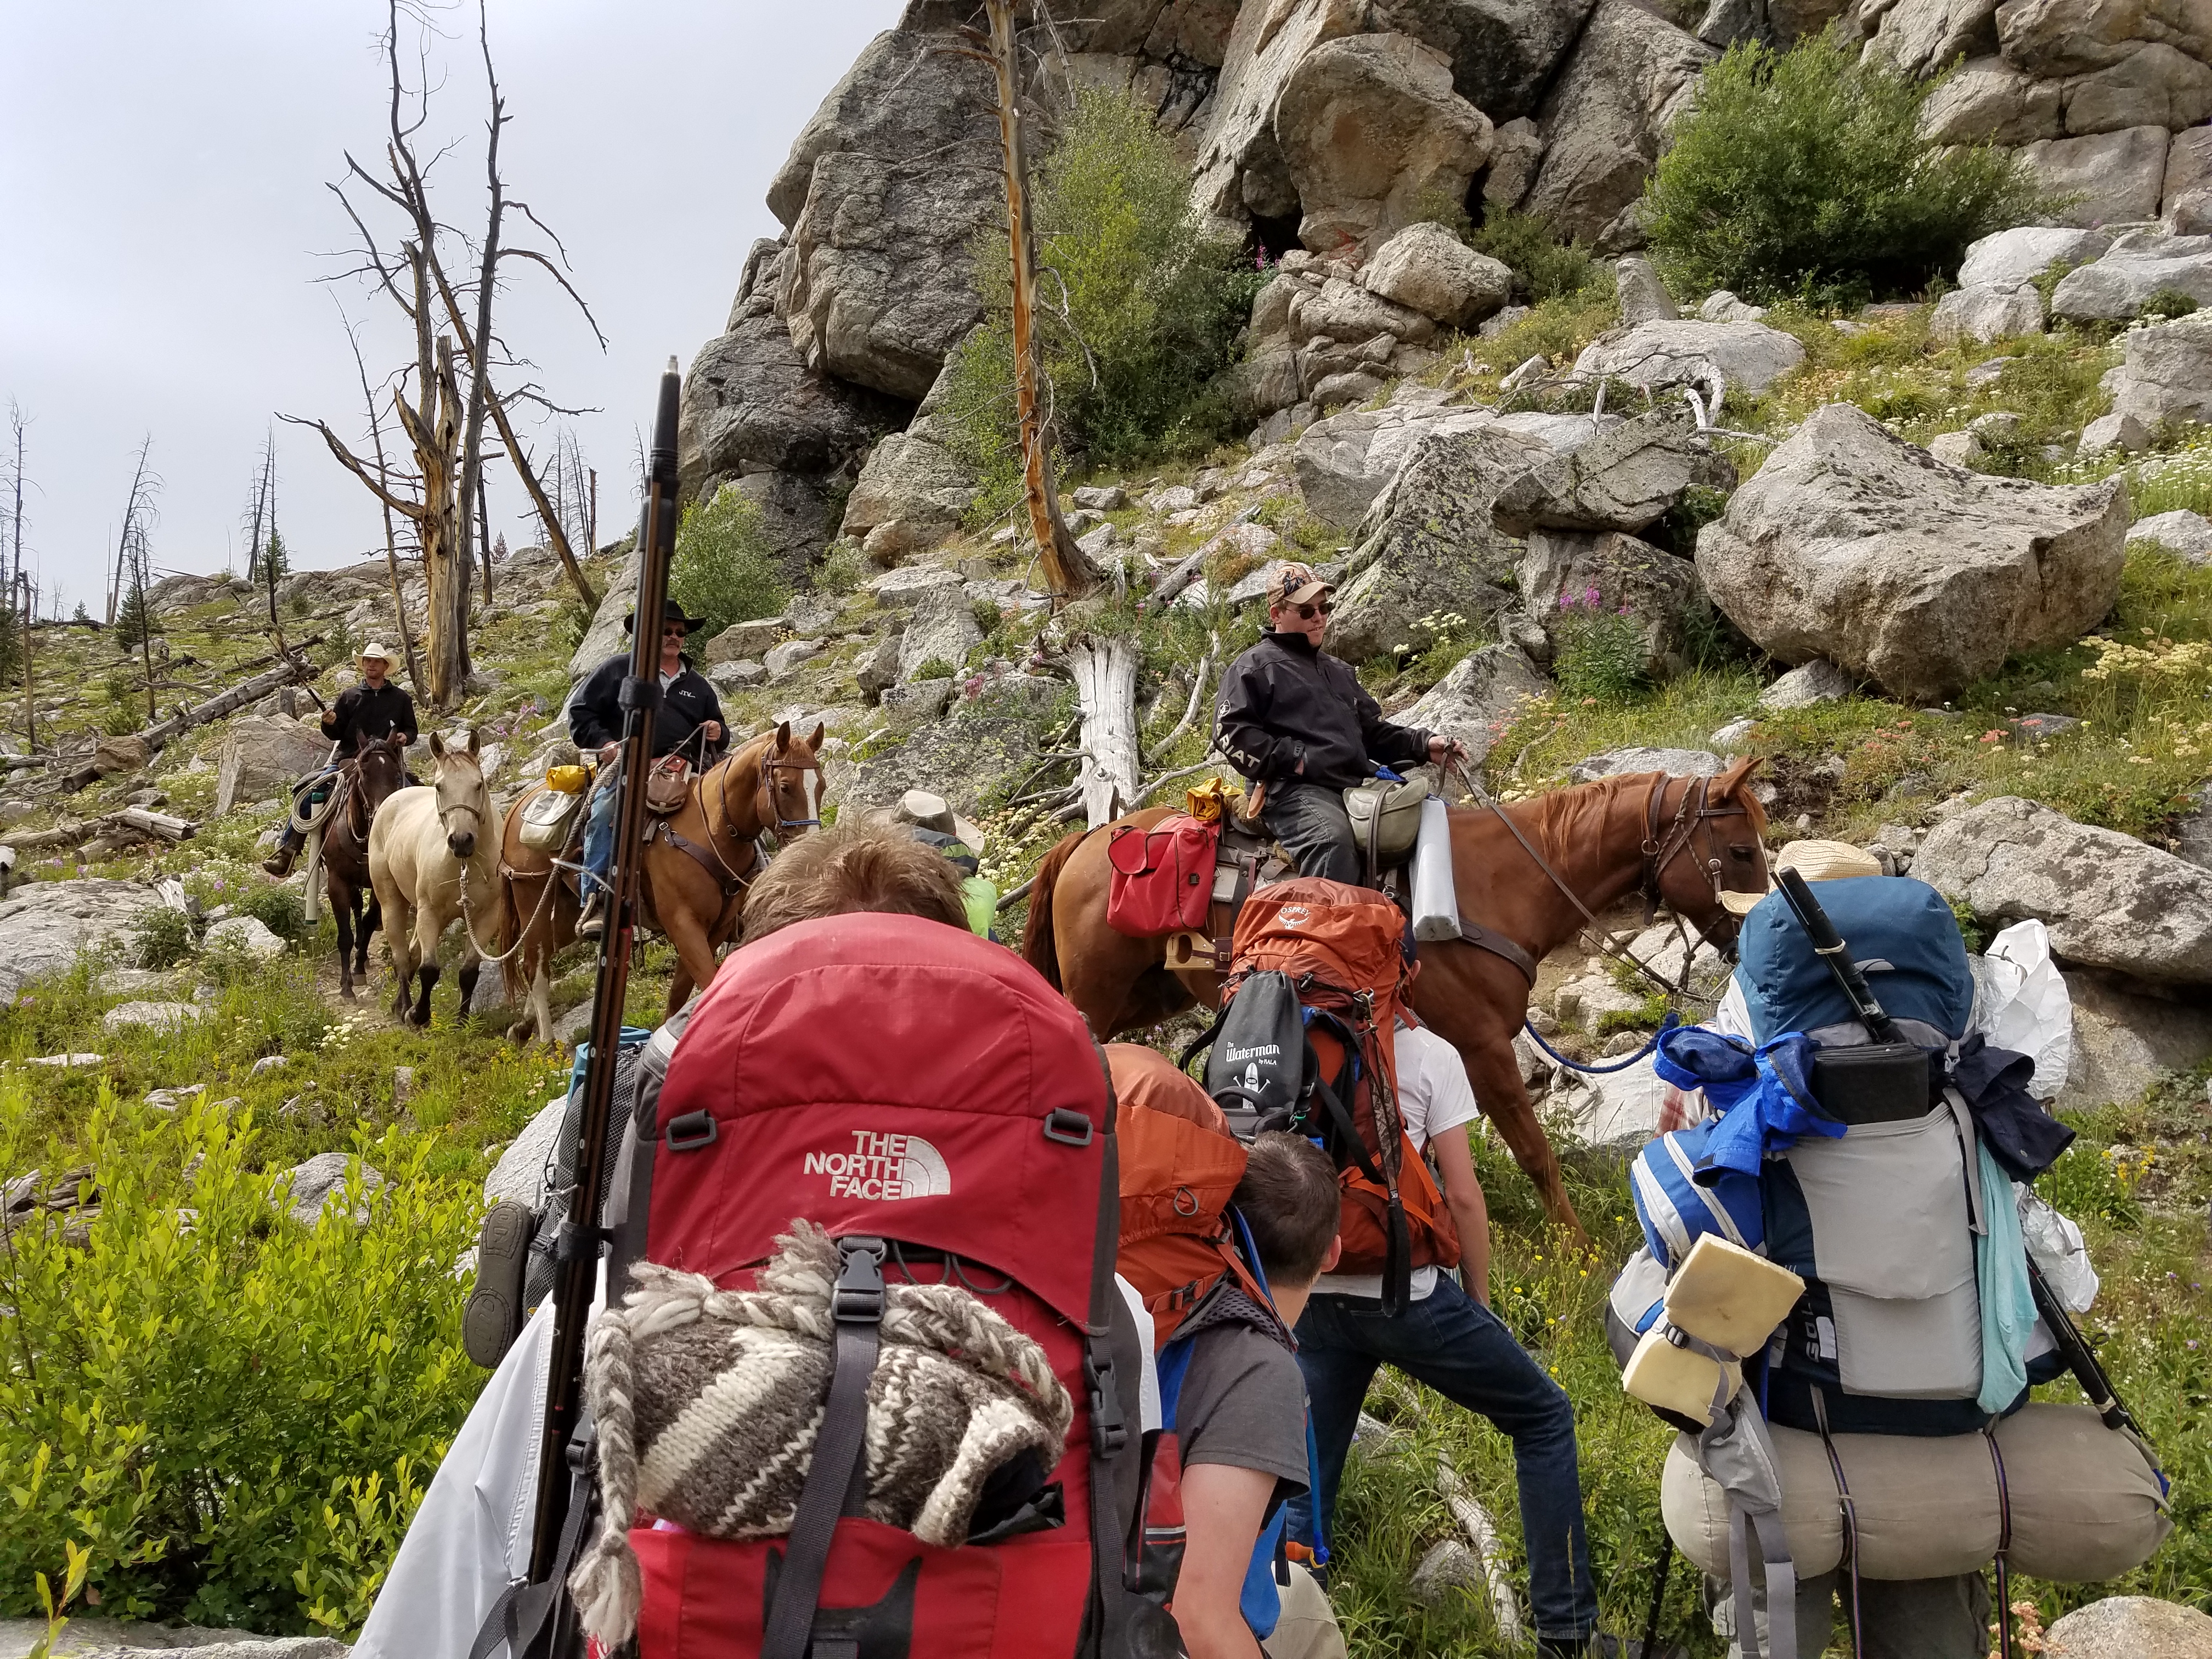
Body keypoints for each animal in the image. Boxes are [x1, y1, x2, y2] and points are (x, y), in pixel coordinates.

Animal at [314, 730, 413, 1000]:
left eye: (395, 772)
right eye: (364, 771)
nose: (383, 815)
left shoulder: (379, 882)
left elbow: (369, 922)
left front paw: (358, 969)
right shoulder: (338, 882)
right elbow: (345, 936)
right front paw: (346, 985)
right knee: (356, 906)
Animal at [367, 730, 498, 1026]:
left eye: (479, 784)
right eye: (439, 787)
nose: (461, 841)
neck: (464, 866)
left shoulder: (486, 919)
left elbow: (469, 973)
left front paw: (463, 1021)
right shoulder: (429, 912)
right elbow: (429, 970)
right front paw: (418, 1014)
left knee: (412, 952)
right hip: (392, 903)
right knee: (402, 958)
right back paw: (405, 1006)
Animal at [493, 725, 822, 1044]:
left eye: (819, 785)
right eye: (785, 787)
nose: (810, 844)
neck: (709, 829)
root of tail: (515, 810)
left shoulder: (716, 928)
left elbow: (680, 991)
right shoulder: (683, 925)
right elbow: (707, 981)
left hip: (564, 912)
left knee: (545, 953)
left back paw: (523, 1026)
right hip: (533, 899)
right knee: (535, 964)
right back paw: (547, 1041)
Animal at [1026, 761, 1769, 1238]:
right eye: (1739, 850)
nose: (1756, 934)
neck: (1499, 882)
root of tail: (1087, 840)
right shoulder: (1481, 1046)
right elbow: (1534, 1151)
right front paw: (1578, 1253)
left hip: (1147, 997)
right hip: (1100, 992)